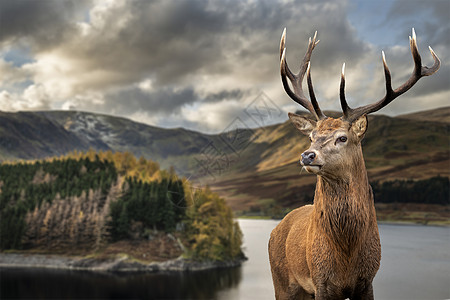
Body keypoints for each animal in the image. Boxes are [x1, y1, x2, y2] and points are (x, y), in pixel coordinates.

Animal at [268, 28, 442, 300]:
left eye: (342, 137)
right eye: (311, 136)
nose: (307, 155)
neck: (347, 256)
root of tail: (277, 227)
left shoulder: (368, 280)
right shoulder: (321, 282)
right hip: (282, 282)